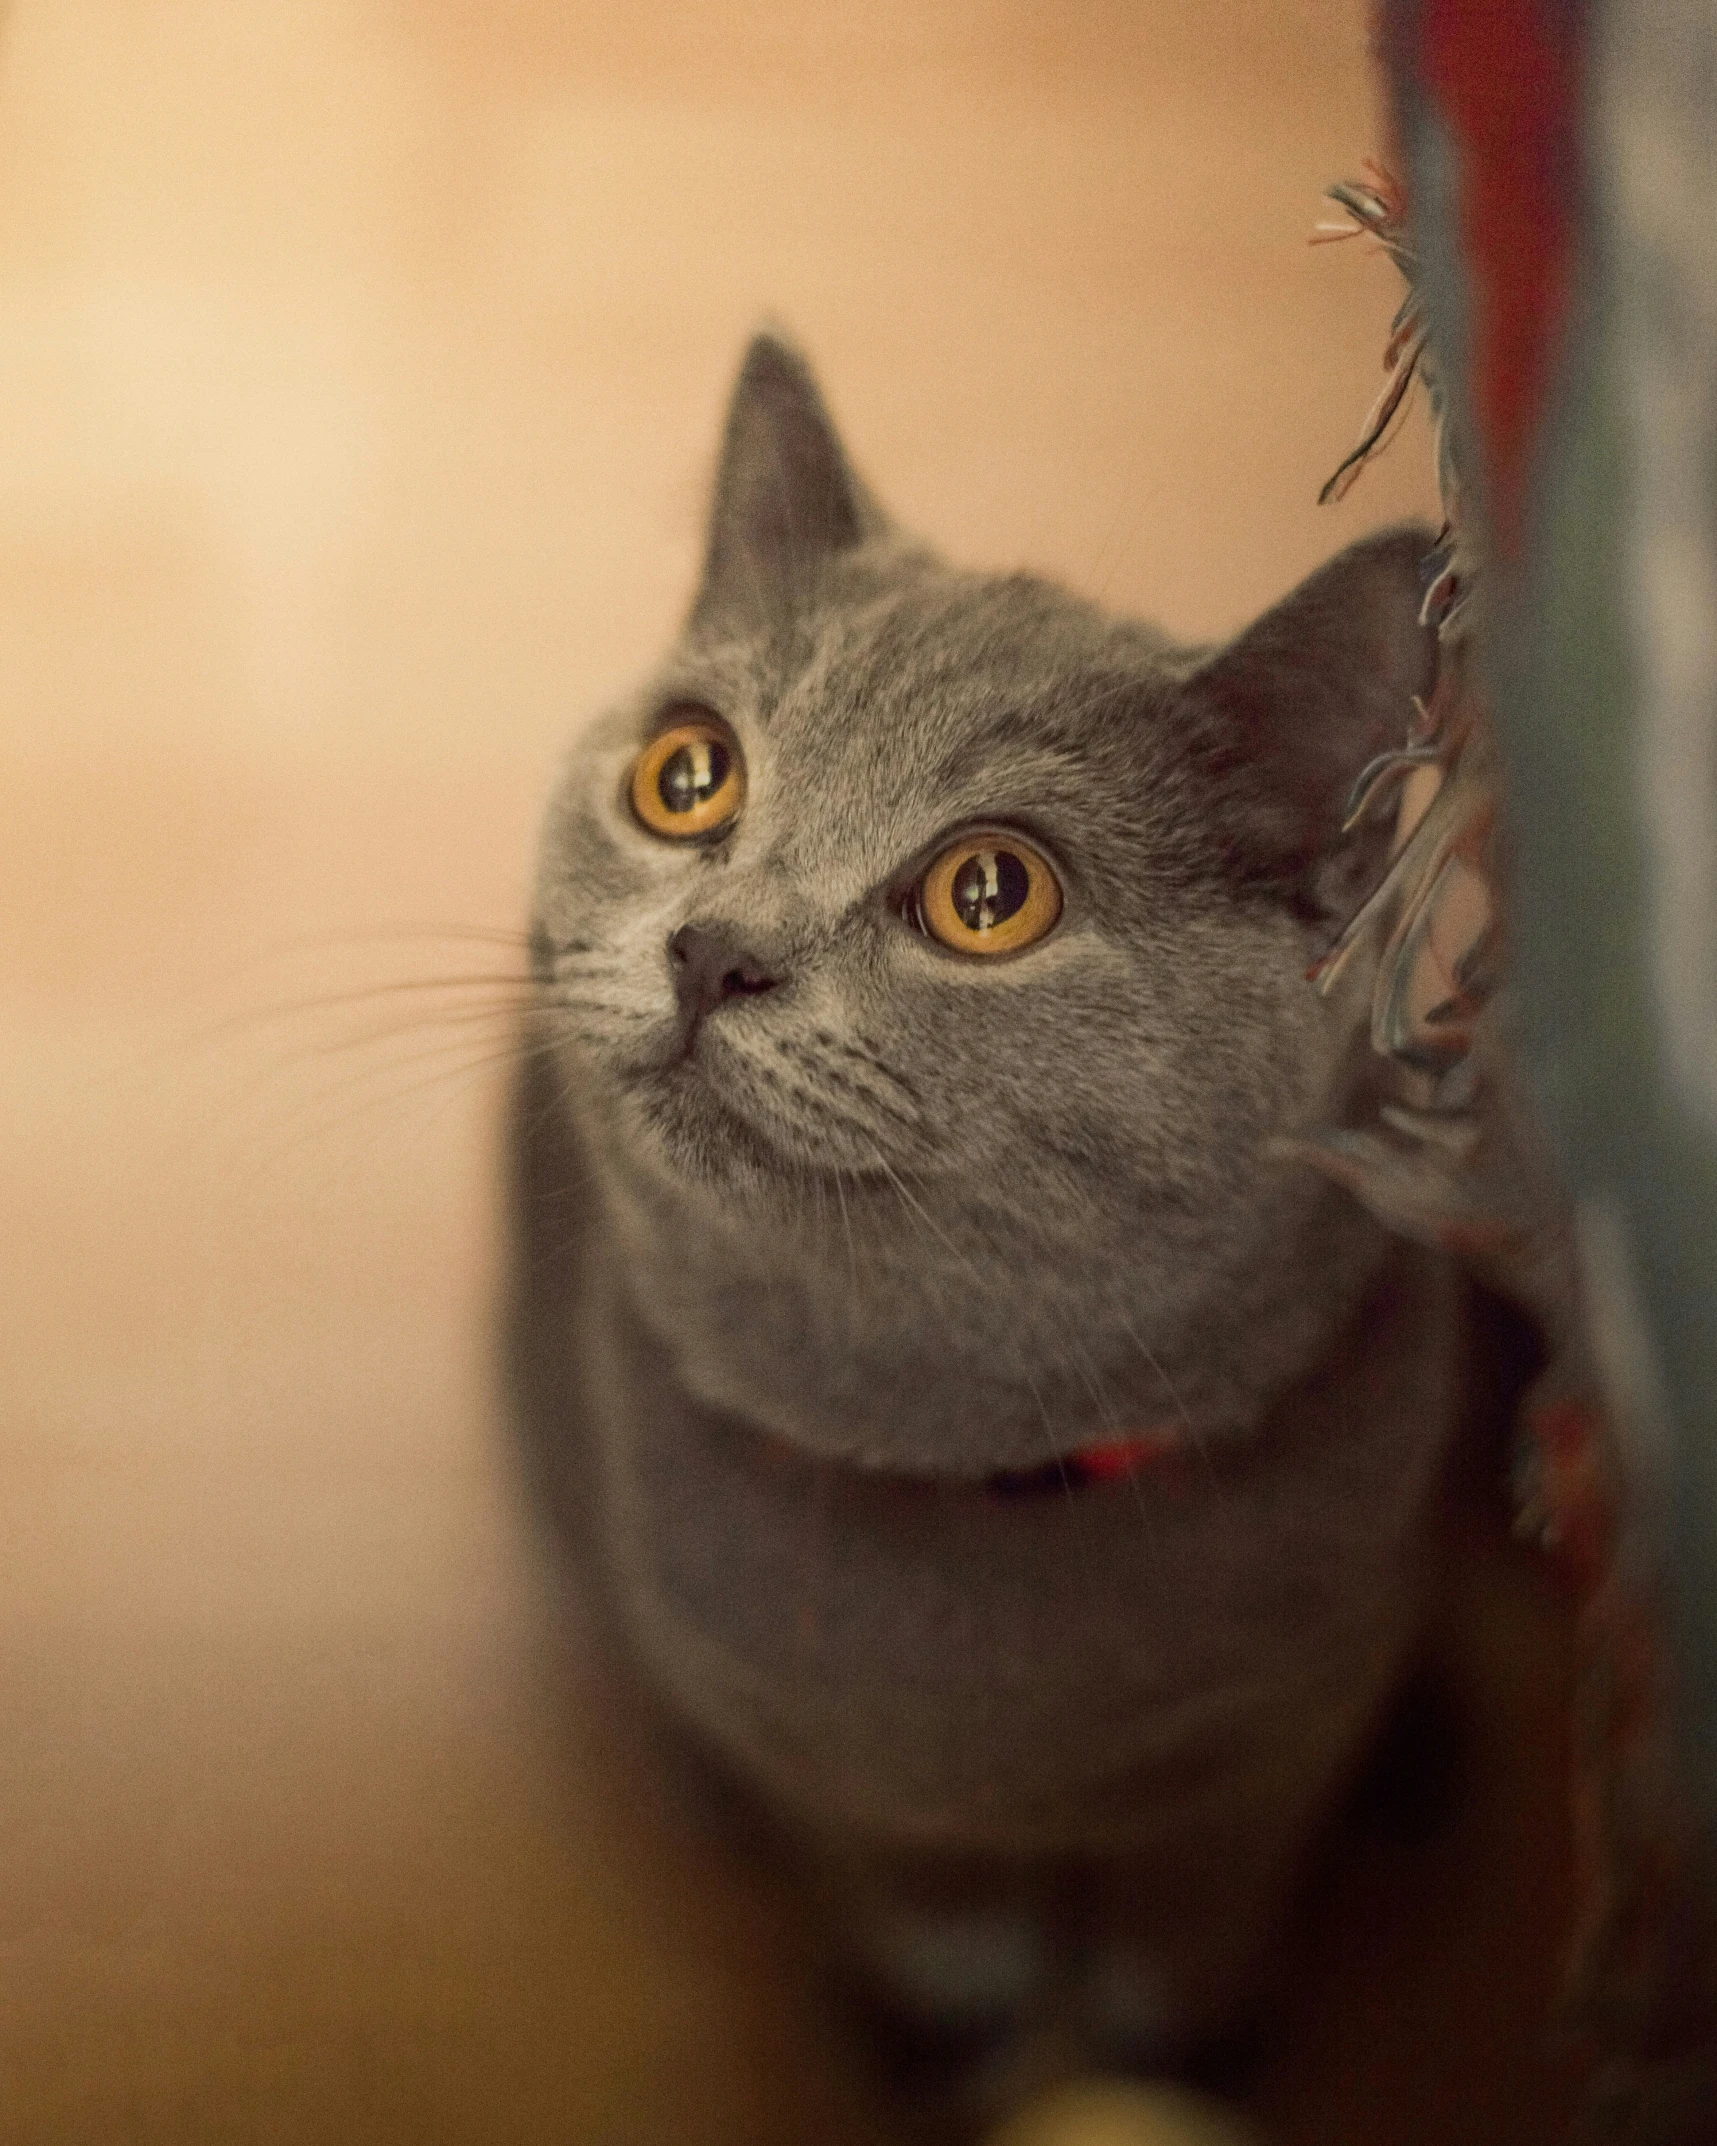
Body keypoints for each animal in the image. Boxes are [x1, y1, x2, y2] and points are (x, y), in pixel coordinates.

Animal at [510, 334, 1476, 2111]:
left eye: (987, 893)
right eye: (689, 777)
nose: (714, 948)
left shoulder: (1271, 1754)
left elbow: (1188, 1933)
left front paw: (1182, 2064)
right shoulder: (839, 1777)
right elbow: (931, 1929)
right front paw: (941, 2054)